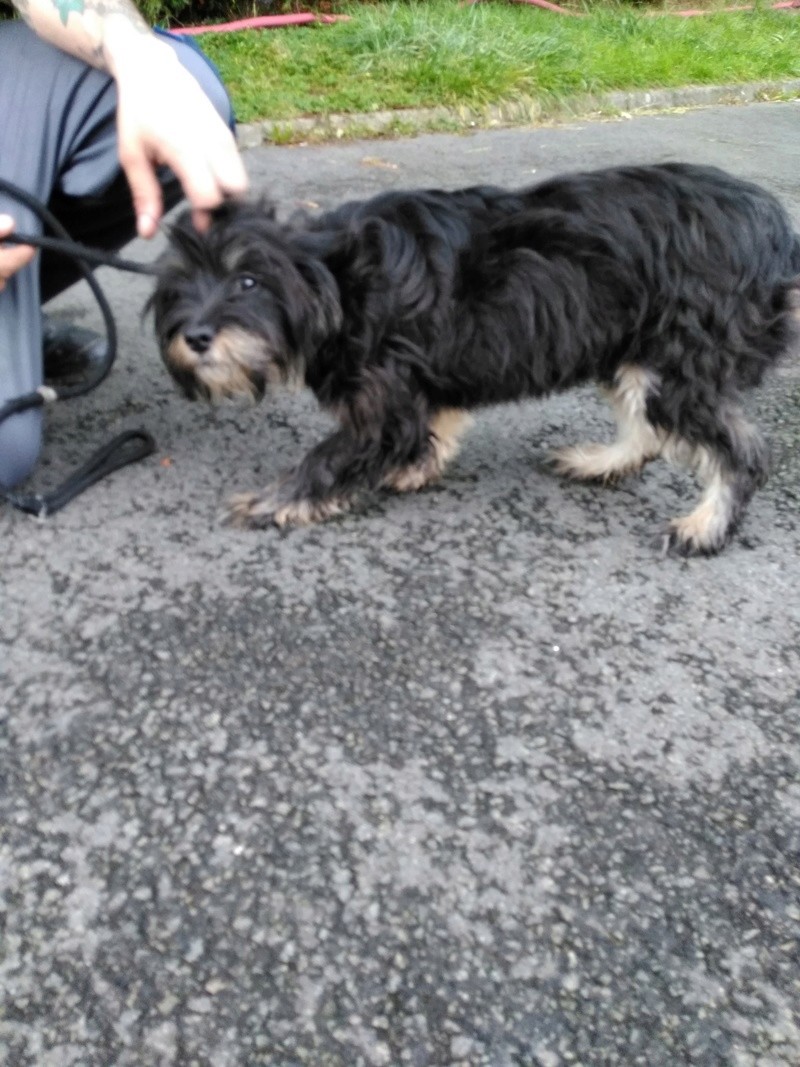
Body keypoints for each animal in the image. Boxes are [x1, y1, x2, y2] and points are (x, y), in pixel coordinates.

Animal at [150, 164, 800, 559]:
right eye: (181, 286)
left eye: (248, 280)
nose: (196, 337)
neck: (336, 276)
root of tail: (776, 235)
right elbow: (437, 419)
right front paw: (417, 465)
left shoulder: (379, 401)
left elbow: (329, 457)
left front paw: (273, 502)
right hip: (631, 349)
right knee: (646, 429)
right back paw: (600, 462)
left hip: (677, 359)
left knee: (740, 451)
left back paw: (705, 526)